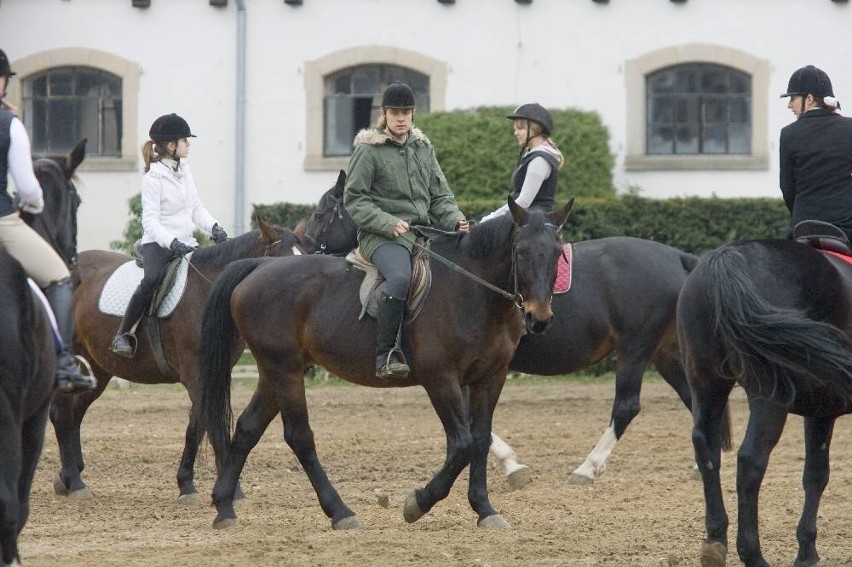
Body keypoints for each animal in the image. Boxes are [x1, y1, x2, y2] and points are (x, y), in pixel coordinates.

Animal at [50, 220, 302, 504]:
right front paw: (233, 491)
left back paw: (66, 477)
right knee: (62, 414)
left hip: (98, 367)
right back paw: (74, 481)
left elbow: (196, 427)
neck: (209, 291)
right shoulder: (197, 376)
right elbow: (213, 426)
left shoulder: (210, 374)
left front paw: (186, 484)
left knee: (76, 413)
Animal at [198, 201, 572, 532]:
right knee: (299, 437)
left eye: (558, 253)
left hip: (275, 371)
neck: (474, 290)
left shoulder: (491, 378)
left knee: (247, 428)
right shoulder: (441, 379)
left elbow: (479, 440)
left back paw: (225, 507)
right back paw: (340, 512)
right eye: (520, 251)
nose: (539, 318)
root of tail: (258, 266)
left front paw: (485, 509)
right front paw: (418, 502)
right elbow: (463, 444)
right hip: (285, 370)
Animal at [300, 171, 700, 486]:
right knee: (691, 394)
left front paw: (509, 466)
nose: (301, 247)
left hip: (635, 349)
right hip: (662, 351)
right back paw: (701, 462)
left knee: (627, 406)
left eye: (320, 213)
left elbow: (474, 425)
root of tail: (674, 254)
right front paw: (509, 465)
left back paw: (588, 467)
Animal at [680, 240, 852, 567]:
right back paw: (753, 554)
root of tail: (726, 256)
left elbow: (815, 474)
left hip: (706, 383)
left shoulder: (821, 412)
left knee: (706, 447)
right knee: (751, 460)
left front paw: (807, 552)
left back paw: (715, 544)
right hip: (769, 397)